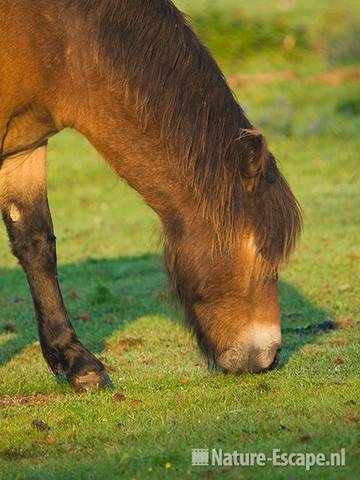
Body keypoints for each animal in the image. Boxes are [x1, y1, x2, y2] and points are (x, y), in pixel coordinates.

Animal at [0, 0, 300, 390]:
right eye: (262, 251)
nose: (270, 356)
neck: (58, 35)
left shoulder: (23, 149)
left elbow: (37, 246)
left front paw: (78, 363)